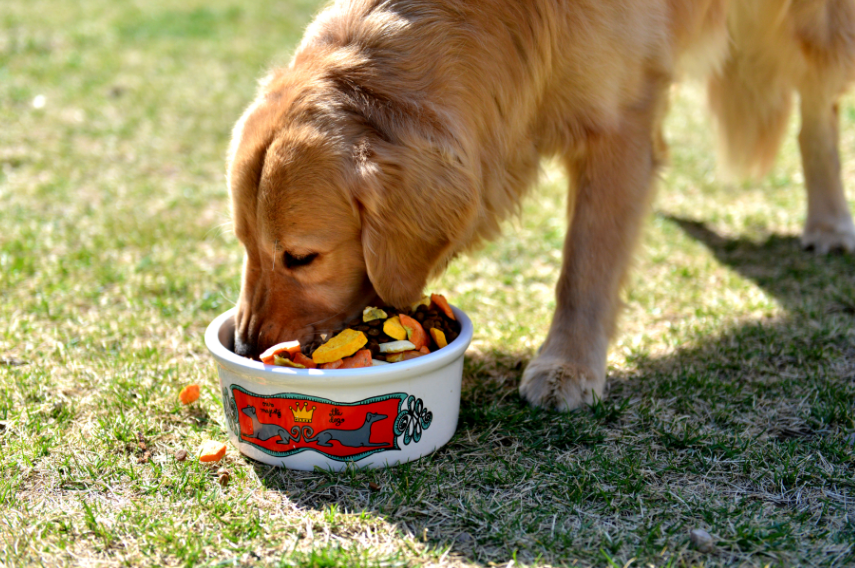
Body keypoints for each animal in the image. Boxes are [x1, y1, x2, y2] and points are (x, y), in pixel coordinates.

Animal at [227, 0, 855, 408]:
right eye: (245, 246)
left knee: (818, 106)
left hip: (814, 25)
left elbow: (586, 265)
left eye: (301, 258)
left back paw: (828, 222)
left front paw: (567, 365)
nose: (247, 345)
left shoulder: (619, 124)